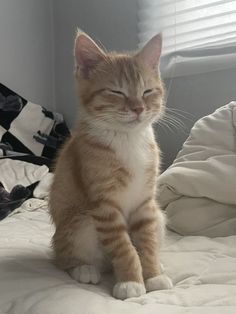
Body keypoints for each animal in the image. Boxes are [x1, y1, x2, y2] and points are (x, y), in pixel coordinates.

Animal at [49, 29, 172, 300]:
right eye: (116, 92)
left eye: (148, 91)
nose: (138, 108)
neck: (128, 138)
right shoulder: (104, 205)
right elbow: (124, 248)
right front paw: (131, 282)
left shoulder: (146, 204)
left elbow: (147, 243)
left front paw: (152, 275)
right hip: (80, 221)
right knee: (61, 258)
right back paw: (83, 268)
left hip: (159, 216)